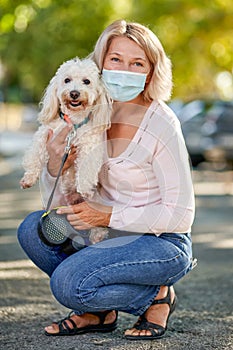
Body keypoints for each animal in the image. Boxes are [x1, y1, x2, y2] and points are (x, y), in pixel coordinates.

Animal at [19, 57, 111, 243]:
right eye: (67, 80)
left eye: (86, 81)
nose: (74, 93)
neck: (73, 124)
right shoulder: (45, 134)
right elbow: (35, 155)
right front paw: (28, 178)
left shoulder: (89, 146)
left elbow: (86, 167)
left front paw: (84, 187)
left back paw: (98, 235)